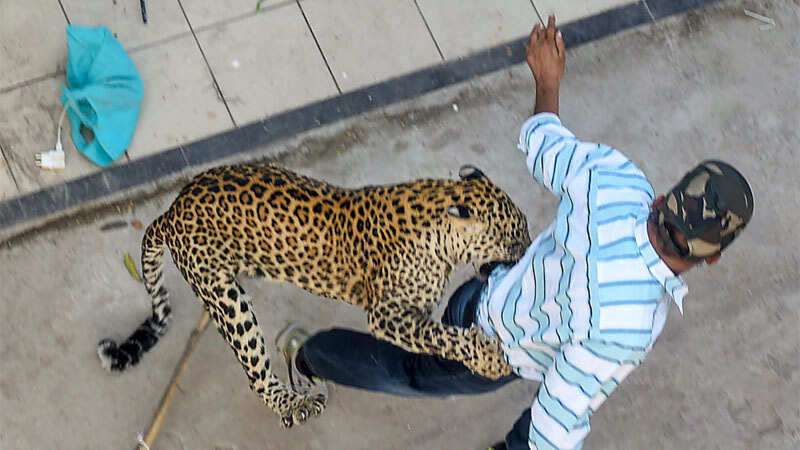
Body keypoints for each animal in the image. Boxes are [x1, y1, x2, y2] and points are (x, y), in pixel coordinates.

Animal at [97, 163, 530, 429]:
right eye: (514, 236)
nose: (530, 251)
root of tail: (170, 211)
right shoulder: (388, 314)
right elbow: (440, 336)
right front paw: (491, 359)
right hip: (227, 300)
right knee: (256, 372)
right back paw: (295, 404)